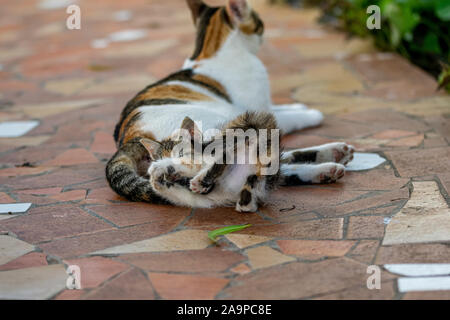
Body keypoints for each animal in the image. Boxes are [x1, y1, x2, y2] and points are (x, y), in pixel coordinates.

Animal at [106, 0, 356, 212]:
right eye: (259, 23)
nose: (262, 31)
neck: (209, 51)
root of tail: (130, 137)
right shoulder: (257, 107)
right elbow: (287, 117)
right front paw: (311, 113)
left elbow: (284, 110)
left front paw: (299, 105)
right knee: (269, 162)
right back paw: (326, 163)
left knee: (277, 160)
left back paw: (332, 157)